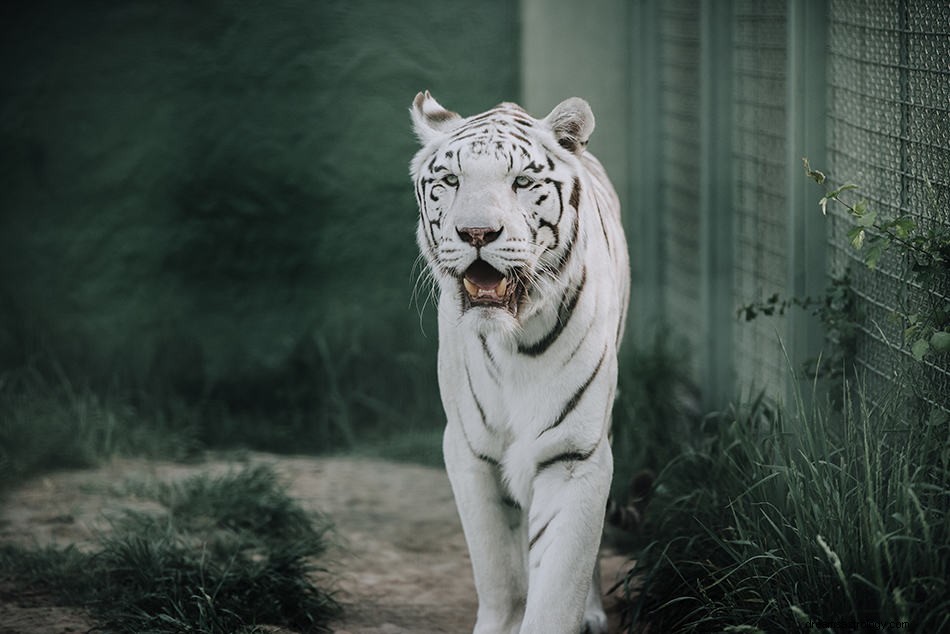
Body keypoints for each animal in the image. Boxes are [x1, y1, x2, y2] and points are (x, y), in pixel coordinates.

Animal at [410, 91, 628, 632]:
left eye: (522, 182)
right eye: (451, 180)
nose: (476, 233)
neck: (513, 344)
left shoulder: (574, 454)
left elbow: (558, 584)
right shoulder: (471, 451)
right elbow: (499, 571)